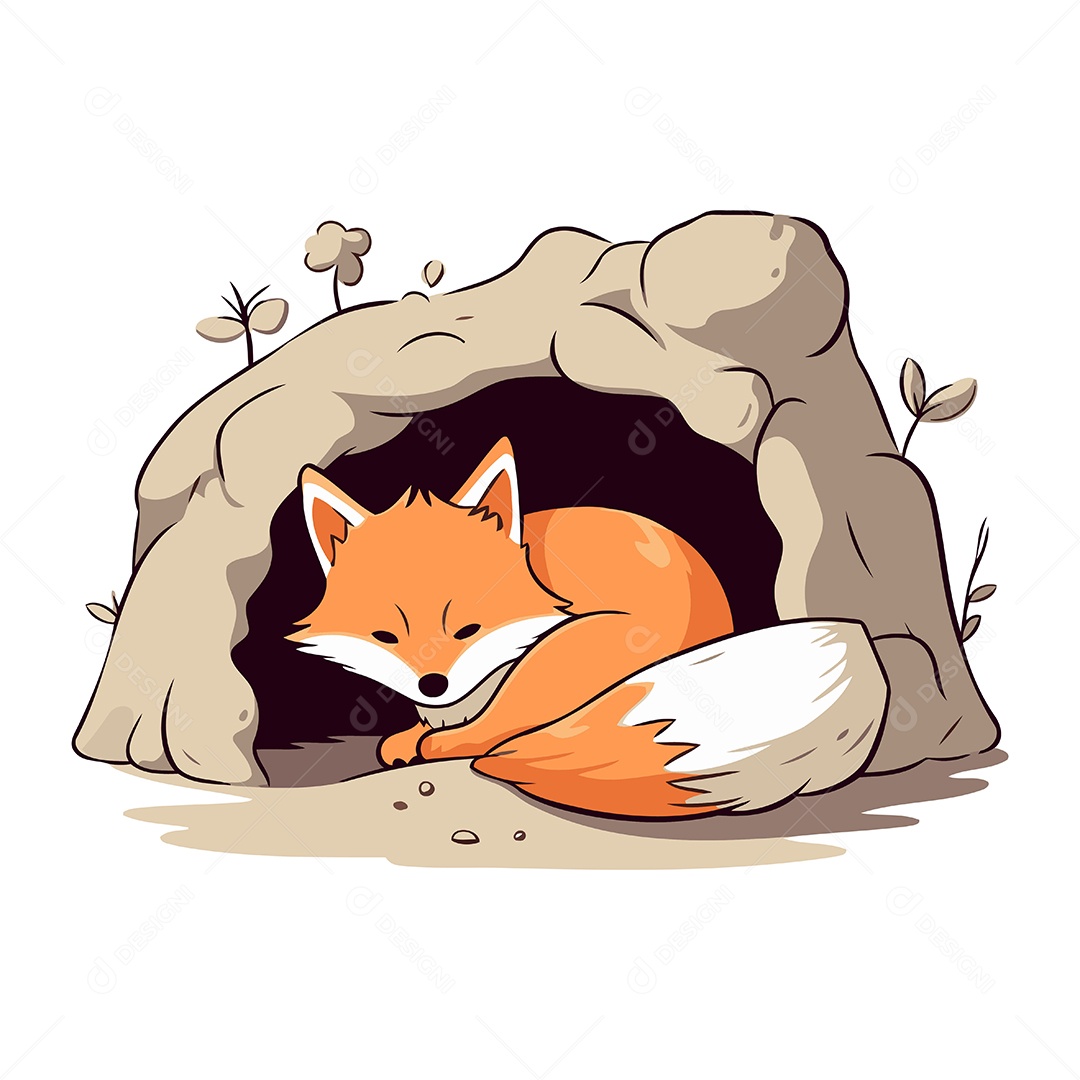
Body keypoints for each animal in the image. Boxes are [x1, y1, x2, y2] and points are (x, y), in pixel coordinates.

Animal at [287, 439, 884, 817]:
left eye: (468, 629)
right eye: (385, 637)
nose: (433, 685)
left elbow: (484, 731)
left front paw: (434, 741)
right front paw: (412, 733)